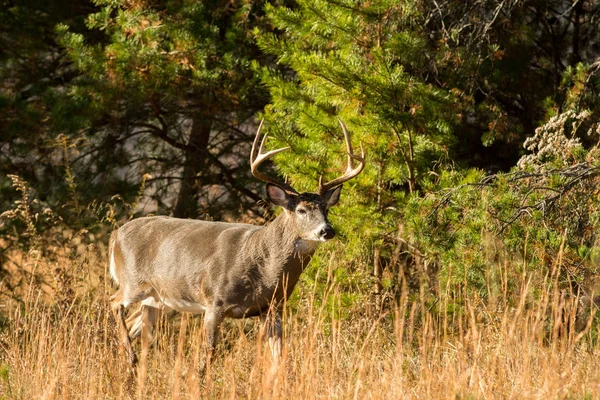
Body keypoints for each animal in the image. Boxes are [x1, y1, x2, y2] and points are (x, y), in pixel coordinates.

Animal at [109, 118, 366, 372]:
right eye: (302, 210)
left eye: (326, 209)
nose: (327, 230)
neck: (263, 268)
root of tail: (115, 235)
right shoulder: (215, 302)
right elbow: (207, 358)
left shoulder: (272, 308)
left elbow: (279, 359)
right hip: (133, 282)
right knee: (114, 302)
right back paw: (130, 357)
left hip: (160, 299)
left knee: (136, 322)